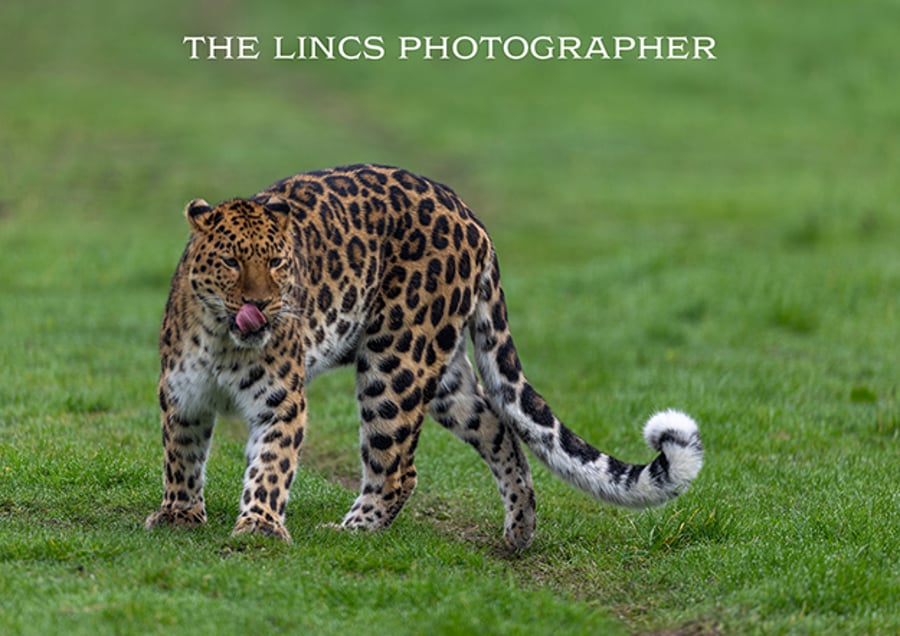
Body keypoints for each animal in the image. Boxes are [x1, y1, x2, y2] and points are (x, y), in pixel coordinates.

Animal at [144, 163, 703, 549]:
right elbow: (181, 456)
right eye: (230, 261)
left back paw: (352, 529)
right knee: (499, 429)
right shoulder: (182, 396)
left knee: (397, 467)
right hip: (442, 373)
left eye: (279, 263)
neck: (224, 339)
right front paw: (178, 515)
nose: (261, 305)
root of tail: (470, 216)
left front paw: (259, 527)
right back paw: (519, 532)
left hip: (395, 362)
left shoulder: (281, 401)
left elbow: (271, 465)